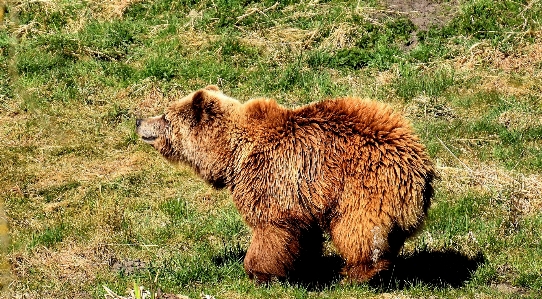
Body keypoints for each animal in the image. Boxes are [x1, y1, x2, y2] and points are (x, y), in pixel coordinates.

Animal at [137, 85, 438, 284]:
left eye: (165, 116)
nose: (140, 120)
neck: (233, 154)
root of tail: (420, 165)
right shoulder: (302, 195)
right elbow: (304, 233)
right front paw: (305, 265)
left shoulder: (271, 176)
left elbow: (272, 227)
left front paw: (258, 272)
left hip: (363, 186)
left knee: (358, 229)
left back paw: (356, 273)